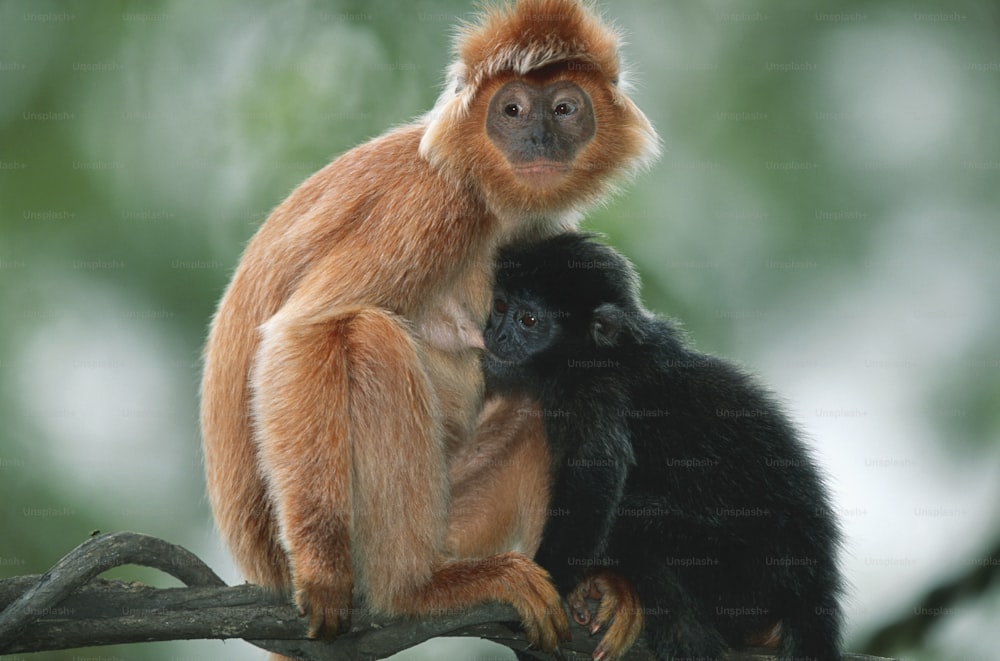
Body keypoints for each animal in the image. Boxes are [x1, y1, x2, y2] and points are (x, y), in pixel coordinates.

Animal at [484, 235, 844, 656]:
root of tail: (818, 583)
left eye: (528, 321)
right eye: (500, 306)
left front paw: (549, 588)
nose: (496, 335)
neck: (605, 354)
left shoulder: (599, 393)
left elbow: (593, 482)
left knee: (633, 523)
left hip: (752, 570)